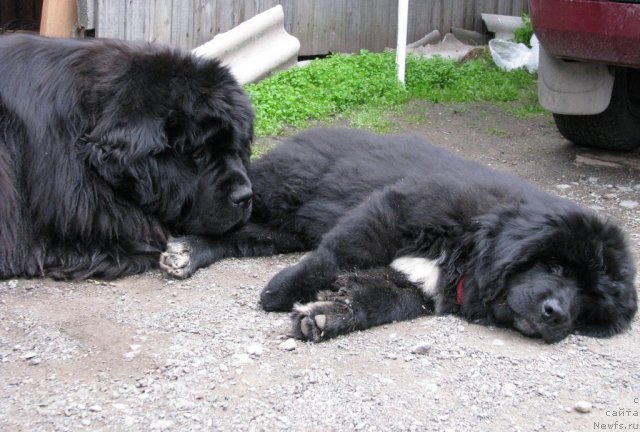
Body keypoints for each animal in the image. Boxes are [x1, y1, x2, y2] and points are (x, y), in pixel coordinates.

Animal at [162, 126, 636, 342]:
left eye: (588, 303)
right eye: (555, 266)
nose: (557, 315)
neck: (474, 237)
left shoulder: (415, 283)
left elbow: (379, 300)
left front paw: (324, 316)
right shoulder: (394, 209)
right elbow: (335, 255)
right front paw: (280, 293)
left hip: (281, 232)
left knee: (236, 236)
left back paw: (187, 253)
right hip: (278, 192)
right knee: (222, 216)